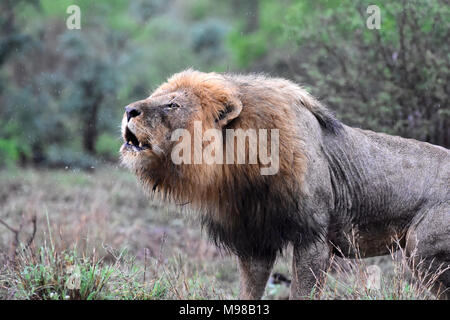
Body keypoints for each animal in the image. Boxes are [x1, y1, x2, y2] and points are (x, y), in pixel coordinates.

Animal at [119, 69, 450, 298]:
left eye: (172, 105)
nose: (128, 110)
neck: (237, 168)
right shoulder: (253, 240)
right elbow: (249, 290)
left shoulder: (313, 237)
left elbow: (303, 291)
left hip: (422, 252)